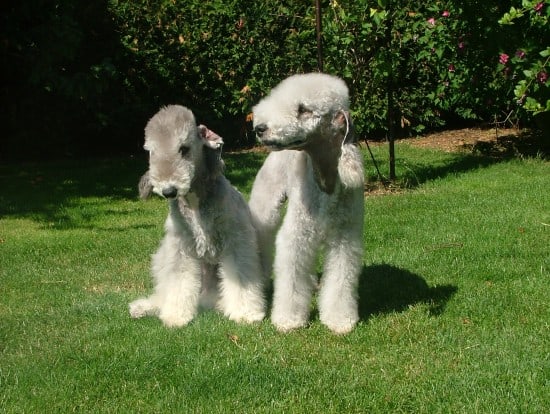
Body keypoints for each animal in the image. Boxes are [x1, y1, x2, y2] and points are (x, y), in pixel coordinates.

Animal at [130, 105, 268, 328]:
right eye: (151, 151)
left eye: (183, 148)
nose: (168, 191)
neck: (195, 200)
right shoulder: (181, 247)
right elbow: (178, 281)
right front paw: (176, 316)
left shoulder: (237, 241)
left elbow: (241, 276)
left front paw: (246, 313)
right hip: (163, 256)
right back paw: (144, 307)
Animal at [250, 73, 366, 334]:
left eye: (303, 109)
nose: (260, 128)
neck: (325, 179)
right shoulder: (296, 234)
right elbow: (291, 277)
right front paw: (288, 320)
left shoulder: (345, 237)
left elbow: (341, 279)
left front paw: (339, 319)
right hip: (266, 206)